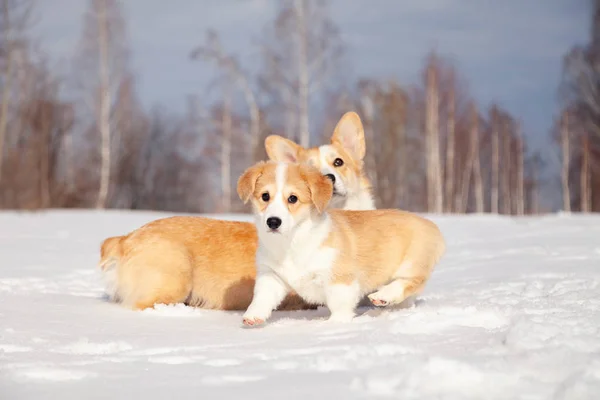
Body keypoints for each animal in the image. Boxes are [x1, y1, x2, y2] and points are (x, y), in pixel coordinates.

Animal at [236, 159, 446, 324]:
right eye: (265, 196)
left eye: (293, 198)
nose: (273, 222)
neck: (291, 243)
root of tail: (431, 226)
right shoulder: (271, 275)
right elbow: (262, 297)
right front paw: (253, 316)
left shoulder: (339, 279)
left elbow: (339, 304)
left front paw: (334, 324)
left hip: (412, 263)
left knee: (412, 281)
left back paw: (383, 296)